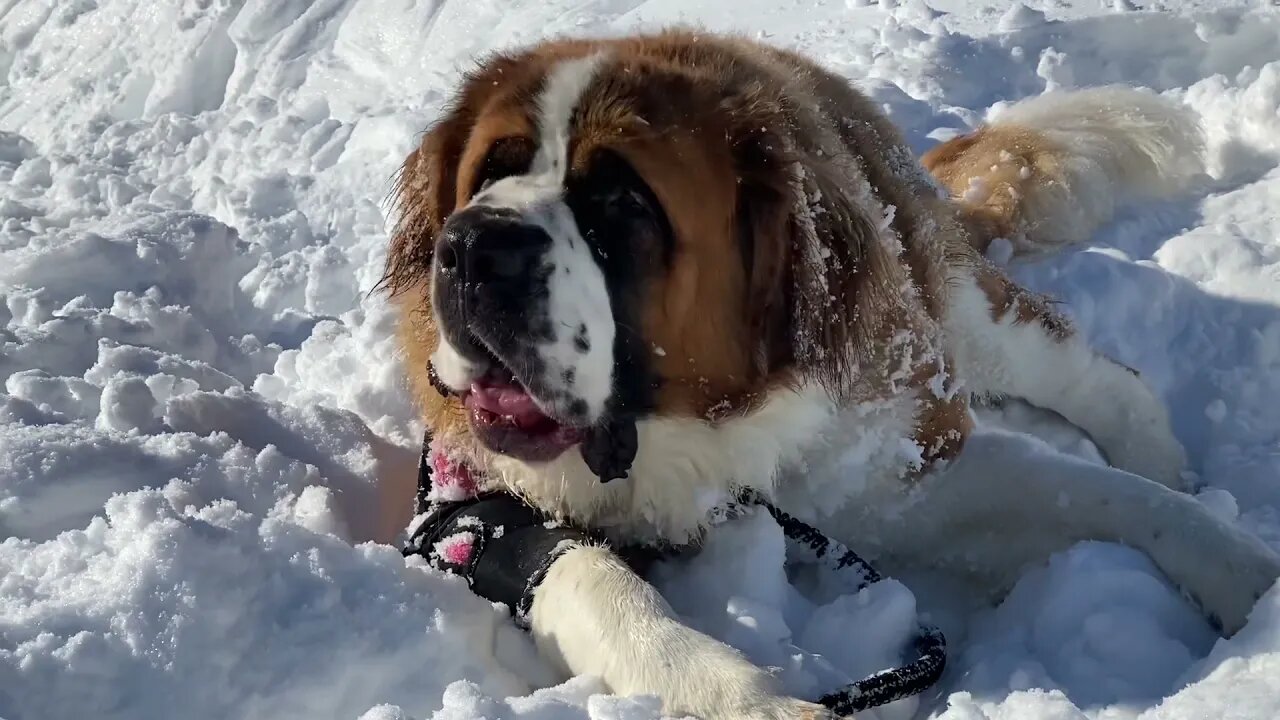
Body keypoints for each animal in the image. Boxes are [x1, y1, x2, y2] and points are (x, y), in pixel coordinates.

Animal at [376, 29, 1280, 717]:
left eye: (623, 204)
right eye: (491, 172)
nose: (473, 246)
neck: (696, 442)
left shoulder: (903, 475)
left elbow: (1115, 500)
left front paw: (1250, 582)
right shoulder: (467, 512)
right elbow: (598, 584)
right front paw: (755, 701)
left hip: (959, 308)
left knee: (1095, 374)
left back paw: (1161, 455)